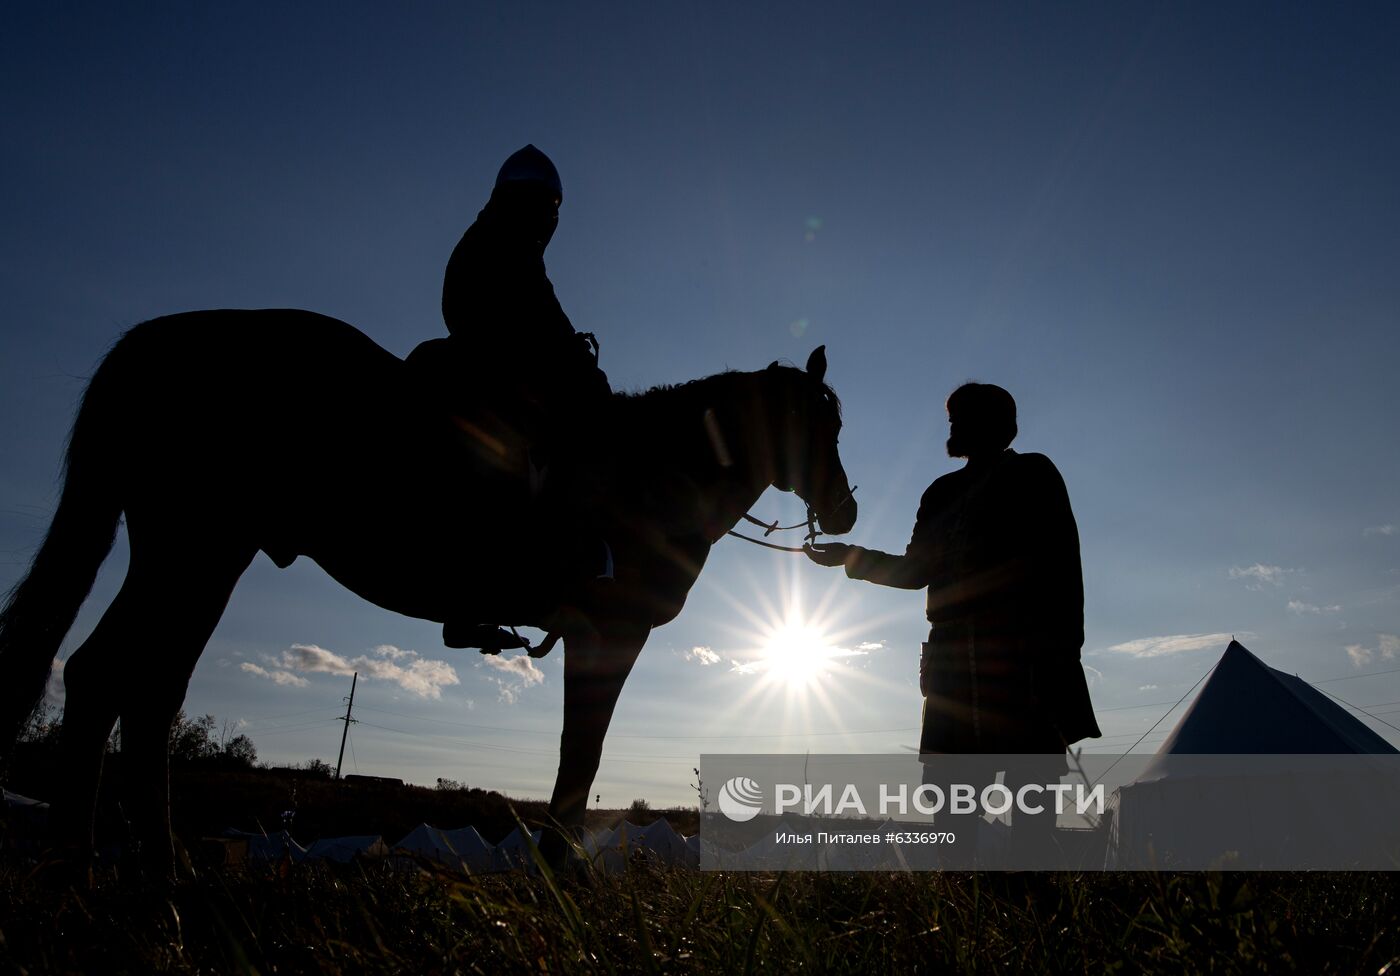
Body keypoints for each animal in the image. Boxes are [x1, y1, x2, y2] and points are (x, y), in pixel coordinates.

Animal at [0, 310, 851, 868]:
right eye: (822, 426)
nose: (844, 510)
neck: (655, 467)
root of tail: (150, 345)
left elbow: (579, 753)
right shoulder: (611, 633)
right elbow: (582, 754)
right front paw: (560, 880)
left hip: (189, 555)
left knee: (128, 685)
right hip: (198, 550)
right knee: (120, 681)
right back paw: (104, 869)